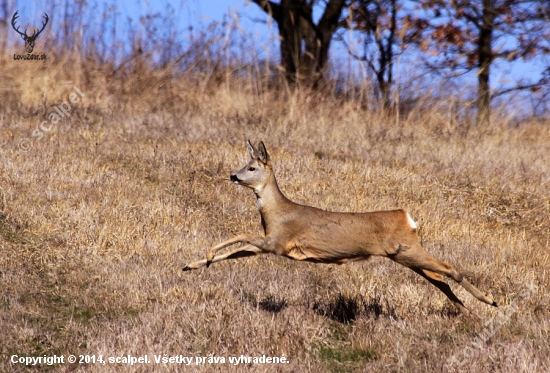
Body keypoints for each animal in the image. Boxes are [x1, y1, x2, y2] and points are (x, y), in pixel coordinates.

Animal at [185, 140, 500, 314]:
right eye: (244, 164)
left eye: (252, 167)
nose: (233, 176)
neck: (277, 212)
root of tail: (408, 218)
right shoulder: (270, 244)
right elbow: (236, 252)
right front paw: (193, 264)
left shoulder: (278, 241)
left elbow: (239, 236)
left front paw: (205, 257)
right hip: (405, 255)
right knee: (439, 279)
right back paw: (466, 311)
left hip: (408, 250)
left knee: (449, 268)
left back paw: (490, 300)